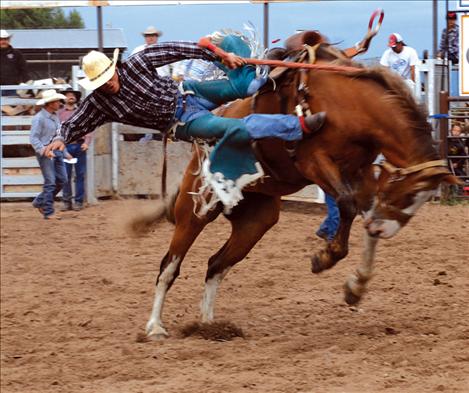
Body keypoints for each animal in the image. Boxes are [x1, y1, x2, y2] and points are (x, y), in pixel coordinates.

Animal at [143, 41, 458, 338]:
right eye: (408, 193)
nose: (385, 230)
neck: (350, 103)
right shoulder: (314, 162)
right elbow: (347, 204)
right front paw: (324, 258)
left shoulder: (362, 171)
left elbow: (364, 213)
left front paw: (356, 286)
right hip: (195, 210)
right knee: (169, 266)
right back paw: (155, 326)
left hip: (257, 220)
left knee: (216, 264)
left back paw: (209, 325)